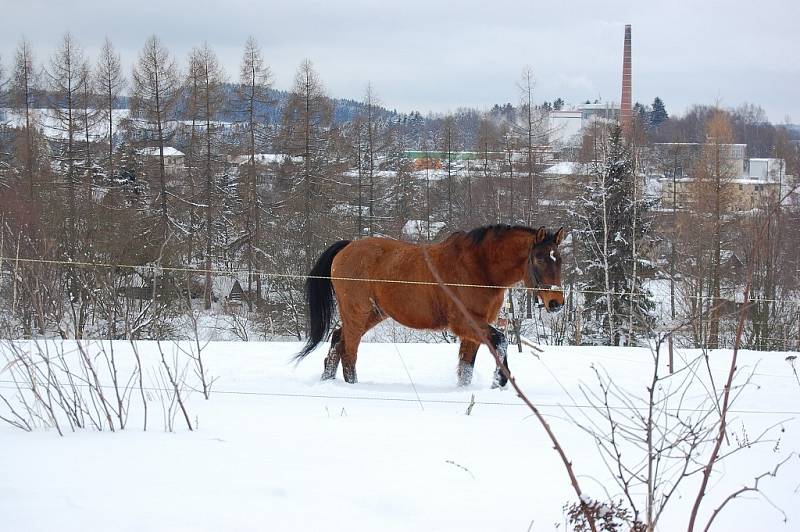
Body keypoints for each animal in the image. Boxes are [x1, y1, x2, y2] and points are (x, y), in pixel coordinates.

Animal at [292, 223, 564, 386]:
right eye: (539, 258)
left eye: (559, 259)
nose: (556, 302)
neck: (479, 267)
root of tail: (346, 247)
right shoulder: (466, 324)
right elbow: (501, 341)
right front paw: (500, 381)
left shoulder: (473, 331)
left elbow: (466, 368)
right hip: (357, 313)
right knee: (349, 352)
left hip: (372, 314)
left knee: (337, 342)